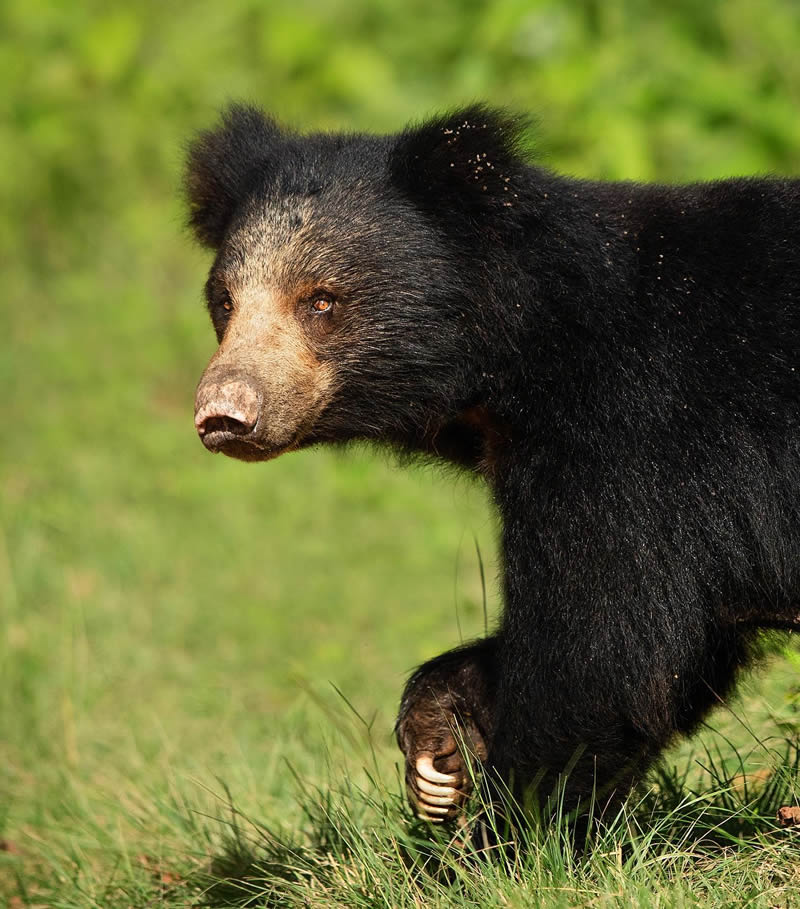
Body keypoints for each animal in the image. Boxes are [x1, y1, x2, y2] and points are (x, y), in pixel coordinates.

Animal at [186, 104, 800, 824]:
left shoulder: (632, 441)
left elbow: (605, 647)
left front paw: (505, 828)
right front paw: (438, 748)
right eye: (225, 301)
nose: (223, 414)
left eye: (321, 301)